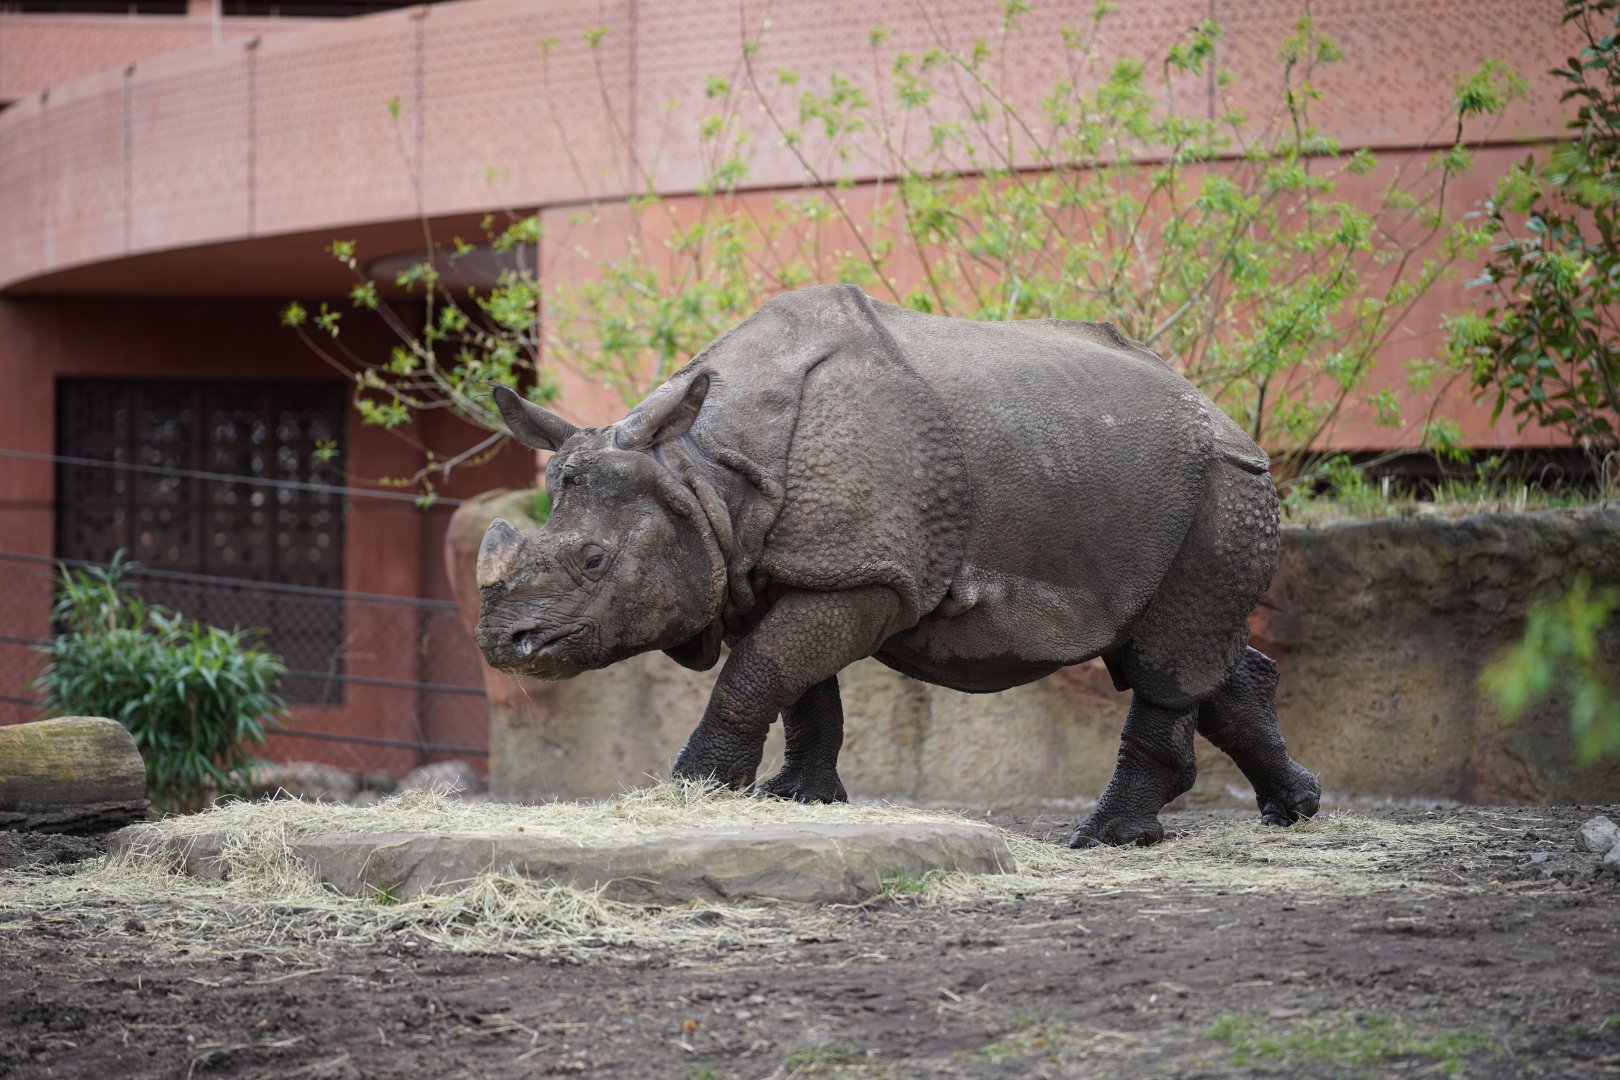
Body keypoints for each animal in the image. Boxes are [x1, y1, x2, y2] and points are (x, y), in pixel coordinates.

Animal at [475, 285, 1319, 846]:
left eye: (593, 560)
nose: (502, 645)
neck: (700, 475)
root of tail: (1221, 412)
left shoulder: (866, 574)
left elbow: (757, 674)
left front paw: (697, 791)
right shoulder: (779, 571)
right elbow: (799, 690)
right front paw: (795, 801)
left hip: (1222, 484)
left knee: (1167, 657)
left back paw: (1102, 837)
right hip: (1157, 484)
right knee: (1178, 646)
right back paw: (1294, 811)